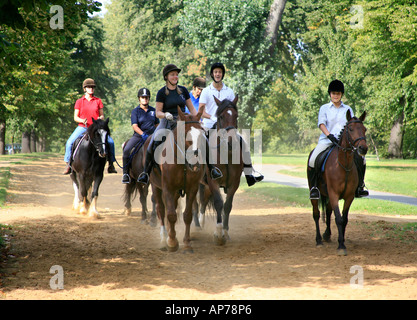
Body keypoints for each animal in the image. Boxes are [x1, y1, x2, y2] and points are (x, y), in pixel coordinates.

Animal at [146, 106, 205, 251]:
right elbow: (171, 215)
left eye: (201, 134)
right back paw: (164, 239)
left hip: (176, 192)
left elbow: (187, 215)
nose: (195, 163)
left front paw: (187, 242)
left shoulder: (192, 188)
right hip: (156, 186)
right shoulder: (167, 187)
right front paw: (172, 242)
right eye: (185, 134)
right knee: (161, 210)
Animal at [196, 95, 244, 245]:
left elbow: (227, 206)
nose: (231, 141)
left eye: (236, 115)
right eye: (221, 116)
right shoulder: (213, 181)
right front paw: (218, 234)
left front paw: (226, 232)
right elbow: (218, 202)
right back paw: (197, 224)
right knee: (197, 202)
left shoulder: (234, 183)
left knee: (203, 201)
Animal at [306, 110, 368, 255]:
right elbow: (339, 219)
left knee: (328, 212)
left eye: (364, 129)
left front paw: (342, 241)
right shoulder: (334, 194)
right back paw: (319, 240)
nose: (363, 148)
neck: (343, 165)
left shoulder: (349, 197)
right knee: (316, 214)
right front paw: (341, 246)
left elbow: (344, 219)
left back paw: (327, 235)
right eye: (350, 129)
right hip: (315, 194)